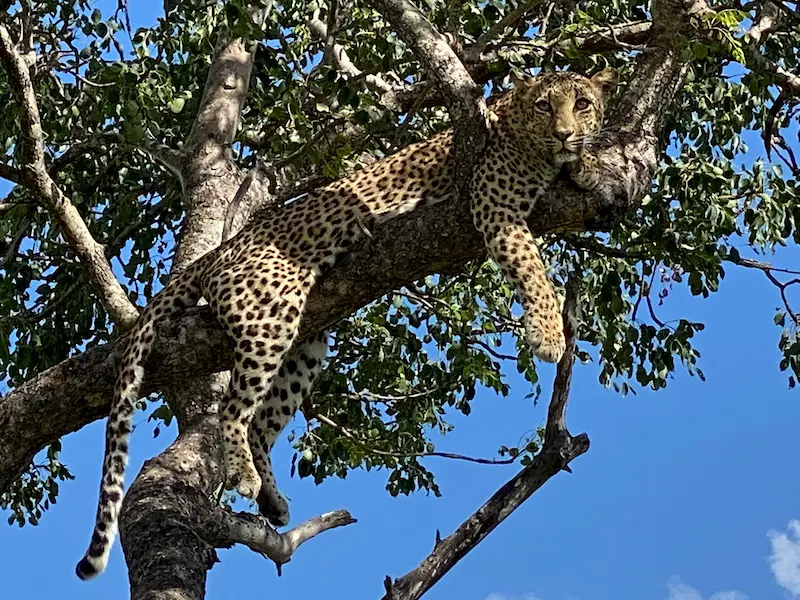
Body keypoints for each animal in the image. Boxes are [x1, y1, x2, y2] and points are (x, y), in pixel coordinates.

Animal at [76, 67, 617, 580]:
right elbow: (533, 269)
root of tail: (221, 250)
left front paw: (587, 163)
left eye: (582, 104)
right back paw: (247, 478)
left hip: (306, 342)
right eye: (546, 105)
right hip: (271, 314)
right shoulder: (494, 204)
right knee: (233, 408)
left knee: (262, 421)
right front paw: (548, 335)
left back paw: (271, 500)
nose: (565, 133)